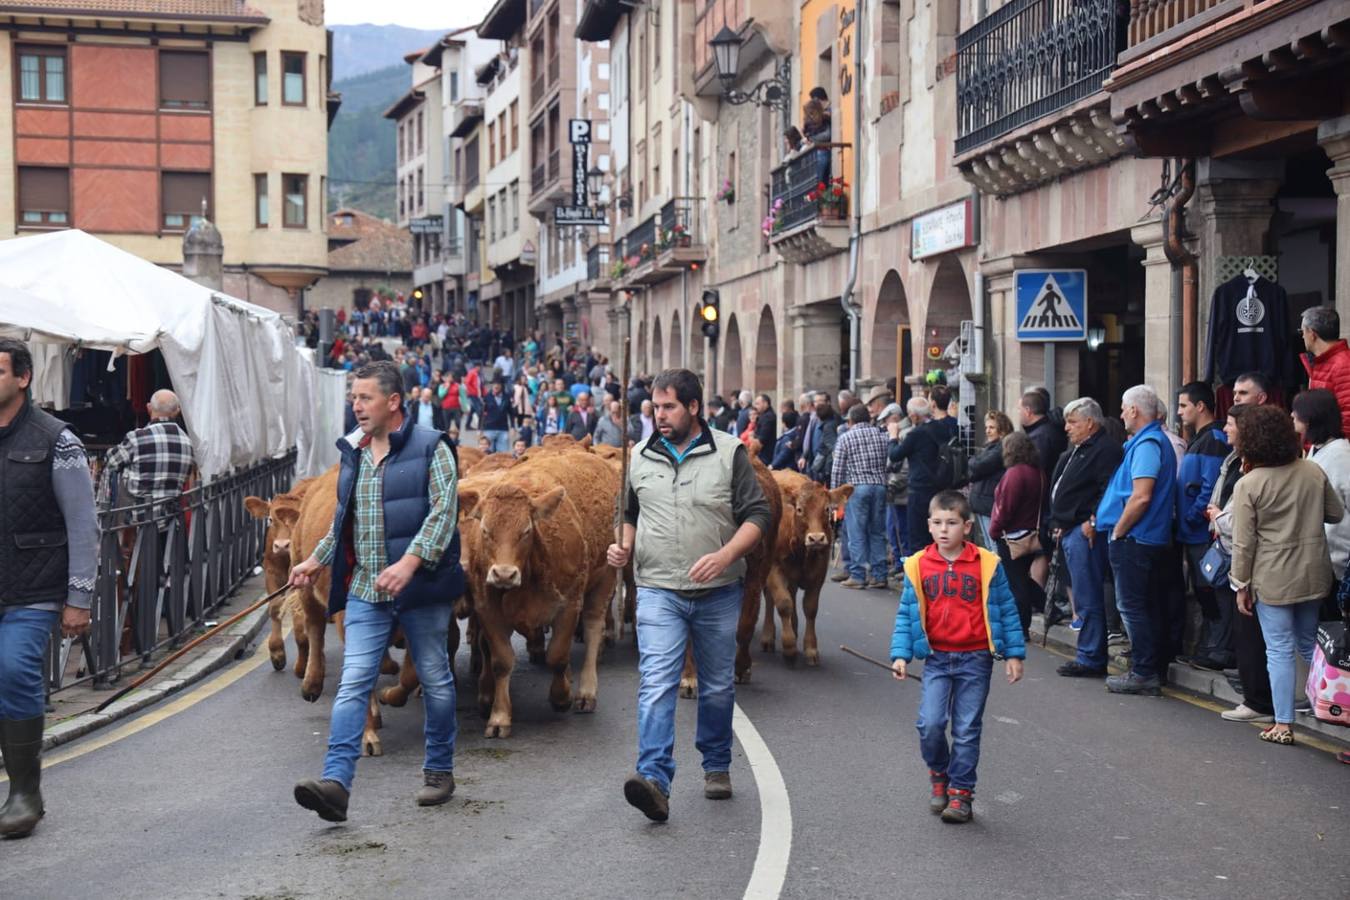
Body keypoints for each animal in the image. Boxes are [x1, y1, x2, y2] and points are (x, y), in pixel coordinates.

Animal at [459, 450, 618, 739]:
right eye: (485, 530)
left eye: (526, 531)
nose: (503, 574)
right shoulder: (487, 609)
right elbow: (501, 661)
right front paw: (499, 717)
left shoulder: (570, 605)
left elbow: (557, 655)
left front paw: (561, 697)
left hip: (605, 578)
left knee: (593, 629)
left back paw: (586, 692)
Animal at [761, 472, 853, 669]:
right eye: (799, 509)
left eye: (827, 509)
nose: (816, 538)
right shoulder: (774, 569)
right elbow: (783, 604)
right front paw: (789, 647)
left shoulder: (818, 573)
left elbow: (810, 608)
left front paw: (811, 648)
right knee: (771, 599)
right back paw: (768, 637)